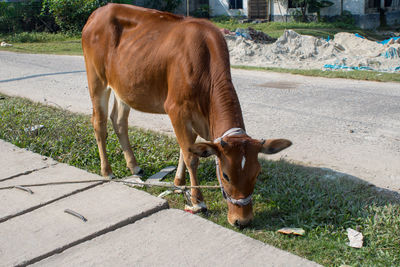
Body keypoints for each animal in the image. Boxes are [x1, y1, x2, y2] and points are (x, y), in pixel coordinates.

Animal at [81, 3, 290, 227]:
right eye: (225, 175)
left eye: (257, 173)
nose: (242, 221)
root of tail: (98, 12)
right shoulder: (176, 109)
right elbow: (191, 156)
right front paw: (198, 201)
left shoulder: (194, 117)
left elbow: (185, 148)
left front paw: (180, 183)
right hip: (97, 80)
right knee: (99, 123)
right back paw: (107, 171)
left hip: (124, 87)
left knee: (119, 121)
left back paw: (134, 166)